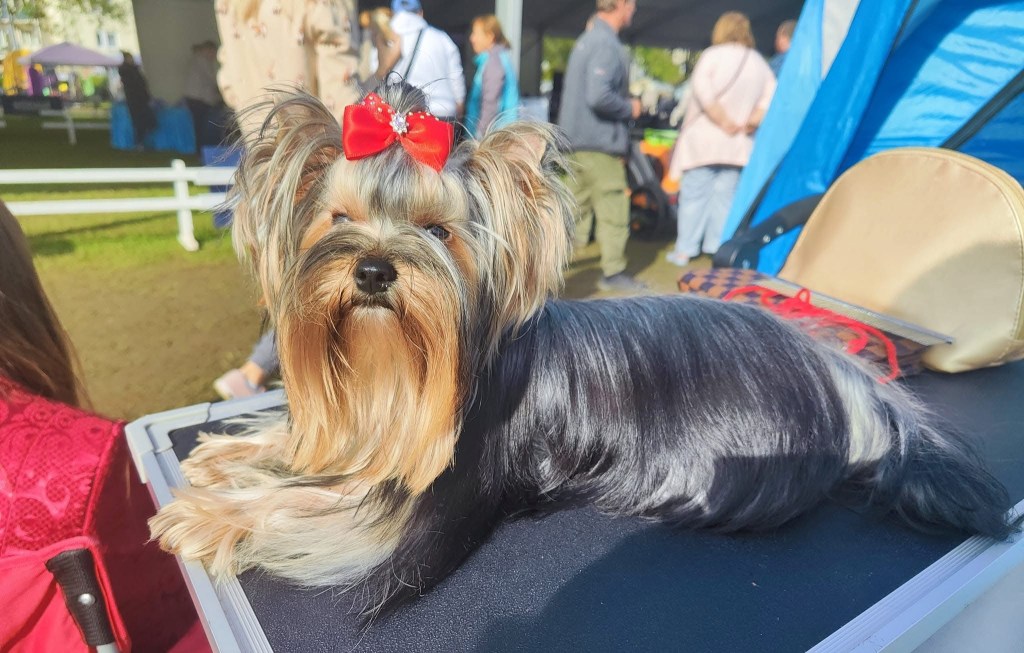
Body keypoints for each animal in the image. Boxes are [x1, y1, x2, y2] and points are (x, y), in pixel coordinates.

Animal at [151, 81, 1014, 618]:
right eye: (337, 220)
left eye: (437, 232)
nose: (371, 269)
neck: (390, 366)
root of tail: (840, 373)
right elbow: (301, 448)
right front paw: (228, 456)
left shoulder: (427, 502)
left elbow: (306, 503)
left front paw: (210, 514)